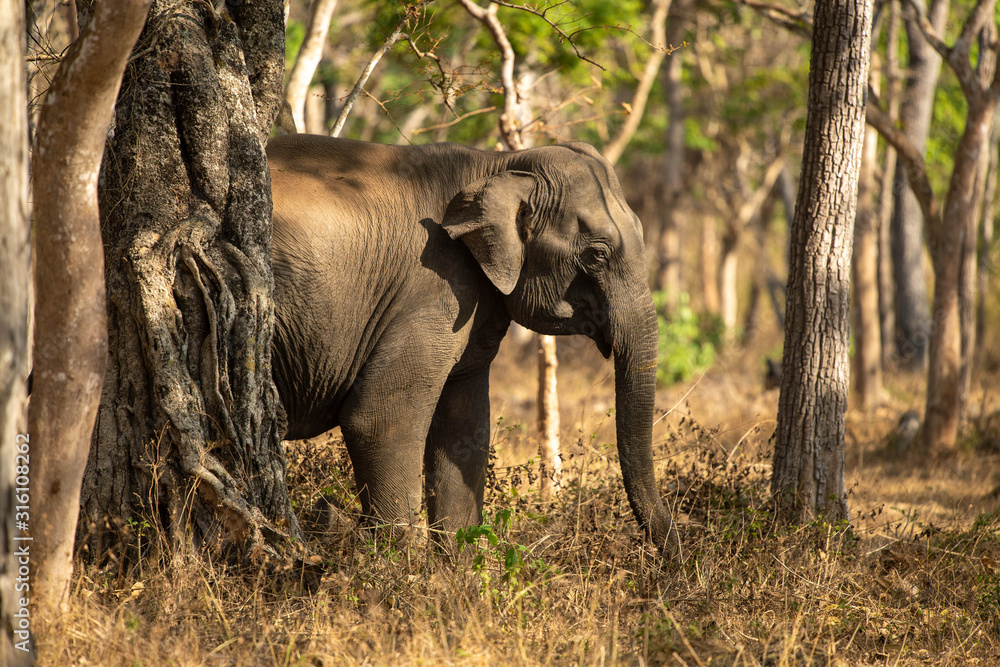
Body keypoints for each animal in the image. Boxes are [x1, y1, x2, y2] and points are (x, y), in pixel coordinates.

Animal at [267, 134, 678, 554]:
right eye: (597, 254)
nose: (672, 556)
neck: (497, 165)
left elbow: (465, 427)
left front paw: (457, 566)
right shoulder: (434, 286)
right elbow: (378, 417)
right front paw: (398, 567)